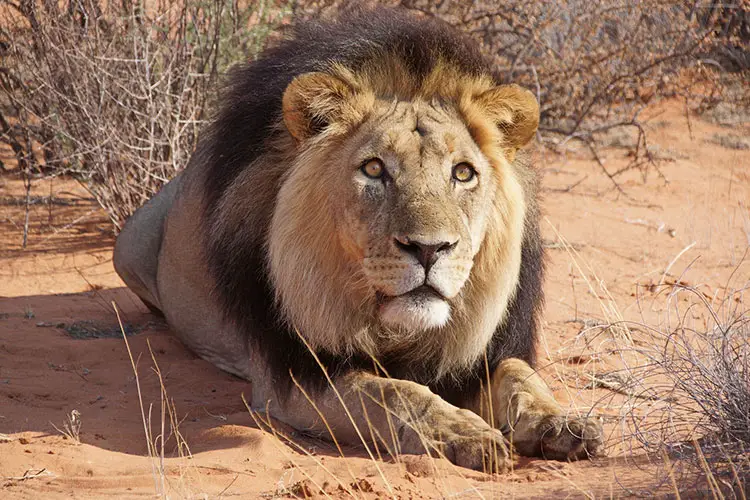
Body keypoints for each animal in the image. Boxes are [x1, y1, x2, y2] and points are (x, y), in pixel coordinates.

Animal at [113, 7, 604, 470]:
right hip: (127, 246)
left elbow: (521, 375)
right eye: (373, 169)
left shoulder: (484, 353)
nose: (430, 249)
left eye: (463, 173)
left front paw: (562, 422)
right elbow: (394, 394)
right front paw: (466, 434)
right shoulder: (296, 377)